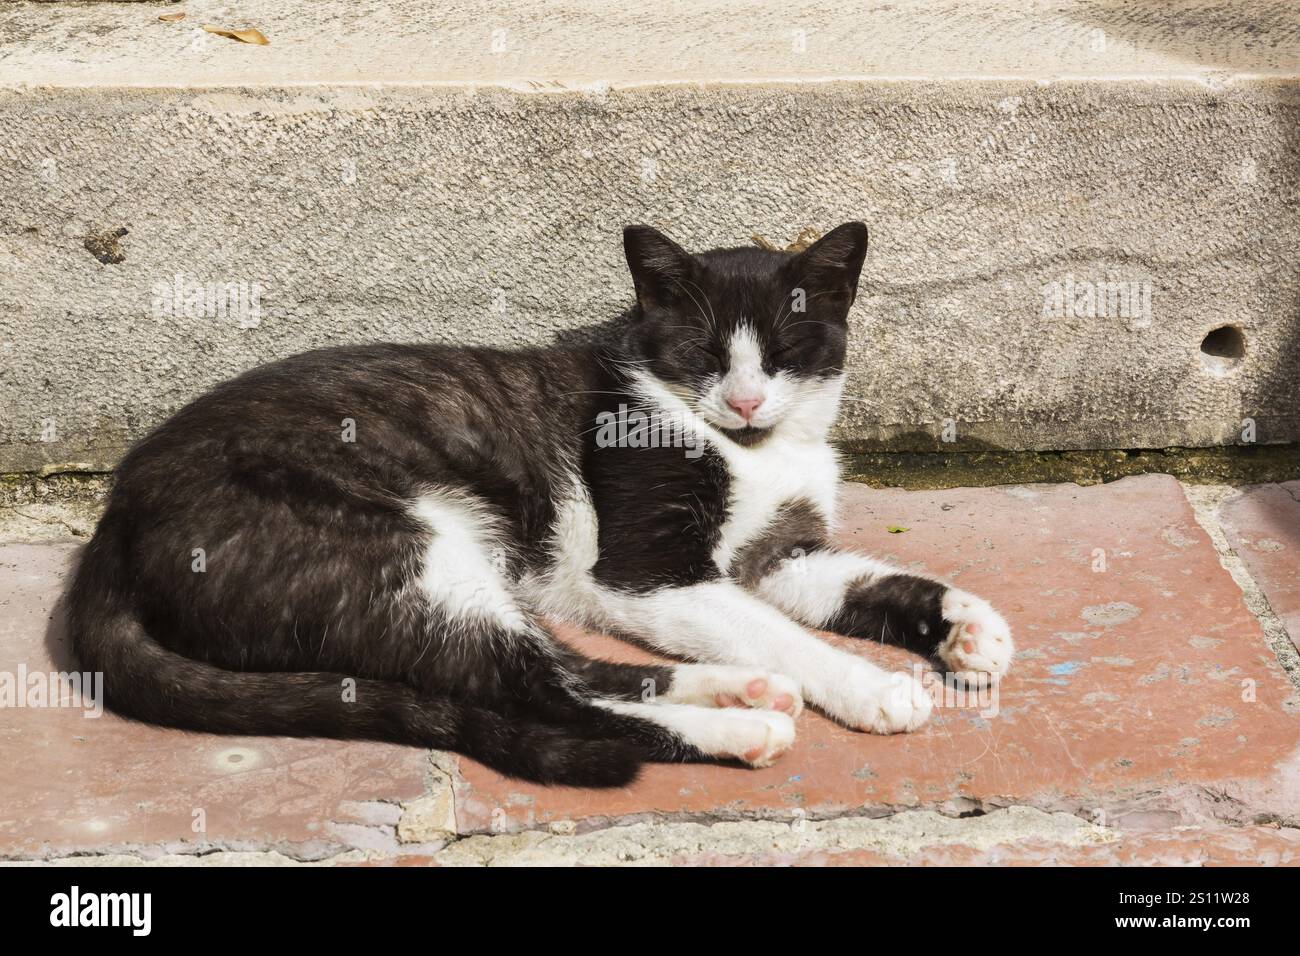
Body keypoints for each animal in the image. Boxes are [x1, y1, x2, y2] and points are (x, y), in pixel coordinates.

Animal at [65, 222, 1008, 785]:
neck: (756, 452)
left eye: (783, 352)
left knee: (564, 668)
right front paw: (871, 687)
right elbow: (781, 629)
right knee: (536, 688)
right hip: (401, 551)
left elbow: (847, 581)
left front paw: (968, 626)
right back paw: (737, 730)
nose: (744, 401)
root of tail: (112, 526)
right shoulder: (646, 571)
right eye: (705, 353)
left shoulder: (776, 556)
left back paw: (739, 691)